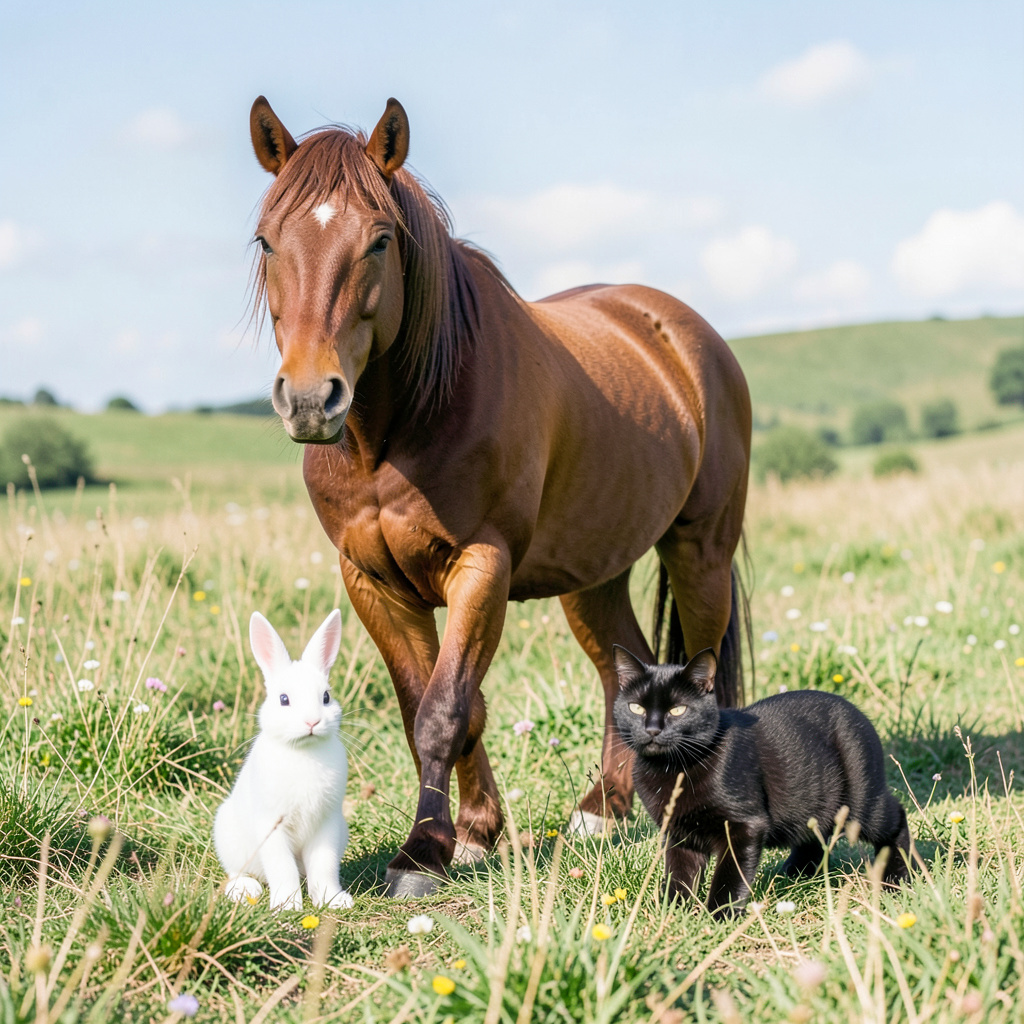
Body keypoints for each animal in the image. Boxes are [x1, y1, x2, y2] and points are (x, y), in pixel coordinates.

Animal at [214, 608, 354, 911]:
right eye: (284, 699)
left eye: (326, 697)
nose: (312, 721)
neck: (303, 750)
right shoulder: (272, 827)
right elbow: (282, 868)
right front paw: (287, 906)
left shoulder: (326, 824)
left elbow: (324, 866)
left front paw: (333, 900)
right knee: (238, 872)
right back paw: (246, 890)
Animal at [247, 95, 752, 897]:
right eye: (267, 241)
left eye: (380, 240)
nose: (308, 398)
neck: (398, 432)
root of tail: (683, 333)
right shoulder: (373, 581)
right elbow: (433, 706)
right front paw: (476, 834)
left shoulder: (481, 566)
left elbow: (444, 710)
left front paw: (420, 854)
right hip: (593, 576)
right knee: (623, 670)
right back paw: (604, 808)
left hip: (700, 550)